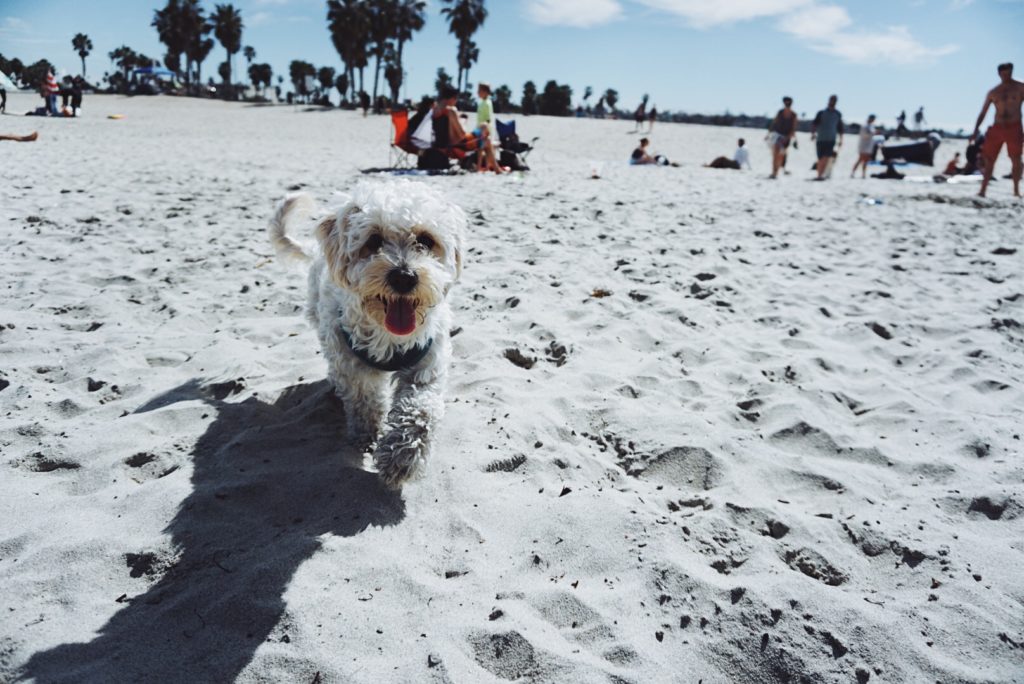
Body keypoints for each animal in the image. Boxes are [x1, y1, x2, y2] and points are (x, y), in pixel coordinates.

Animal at [268, 181, 468, 485]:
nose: (404, 277)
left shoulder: (427, 365)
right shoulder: (352, 364)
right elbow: (364, 402)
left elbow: (421, 409)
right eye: (373, 241)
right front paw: (366, 436)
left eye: (425, 240)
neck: (389, 335)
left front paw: (403, 456)